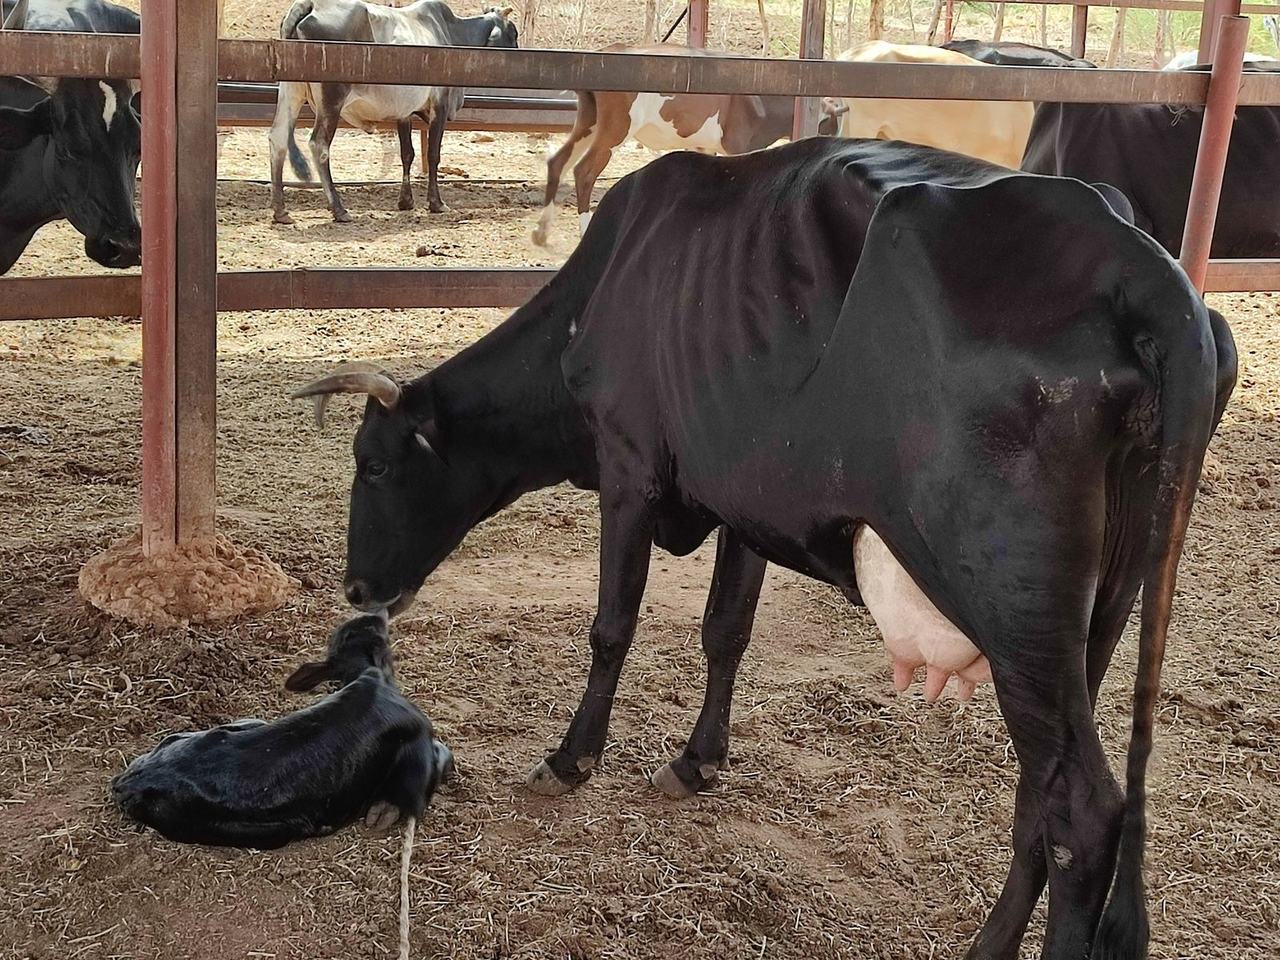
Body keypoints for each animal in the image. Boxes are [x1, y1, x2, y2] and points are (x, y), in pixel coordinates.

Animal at [269, 0, 518, 224]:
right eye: (514, 33)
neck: (451, 33)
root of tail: (309, 4)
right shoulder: (440, 105)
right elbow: (433, 154)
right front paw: (436, 203)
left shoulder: (404, 112)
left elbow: (407, 153)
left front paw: (405, 201)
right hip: (331, 99)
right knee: (319, 145)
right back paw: (339, 210)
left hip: (291, 92)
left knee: (278, 138)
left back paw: (281, 211)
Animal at [293, 137, 1236, 959]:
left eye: (374, 464)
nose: (356, 585)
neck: (605, 290)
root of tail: (1137, 264)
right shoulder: (742, 499)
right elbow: (725, 632)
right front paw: (697, 760)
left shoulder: (630, 468)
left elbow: (611, 627)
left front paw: (572, 757)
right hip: (1094, 615)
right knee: (1040, 795)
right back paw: (986, 945)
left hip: (1016, 608)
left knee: (1082, 810)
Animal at [532, 43, 802, 245]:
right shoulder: (740, 146)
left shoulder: (704, 147)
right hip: (616, 128)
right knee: (584, 171)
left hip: (589, 122)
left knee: (558, 162)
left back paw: (541, 233)